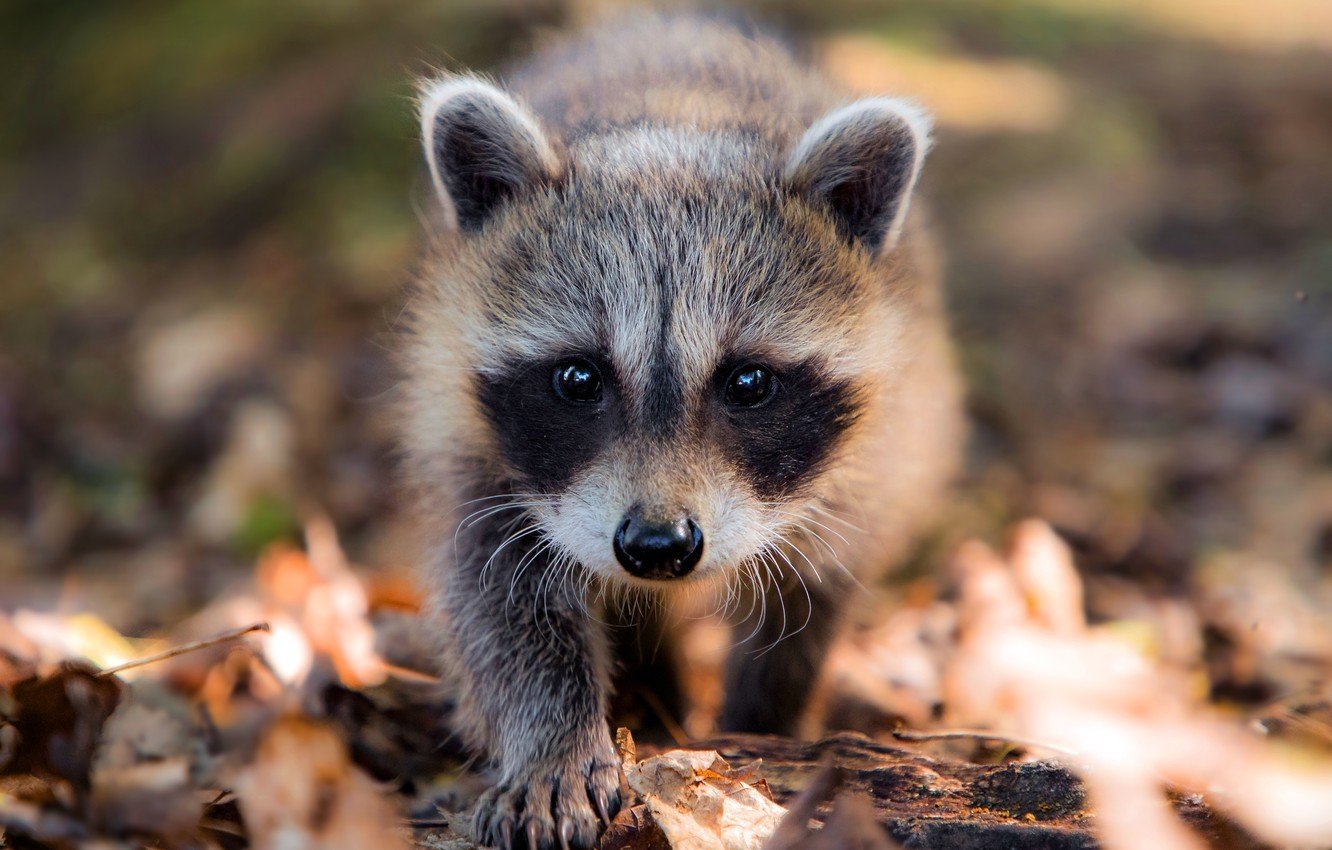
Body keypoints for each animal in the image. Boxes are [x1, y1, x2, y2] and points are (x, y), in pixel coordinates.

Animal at [400, 12, 964, 849]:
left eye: (749, 383)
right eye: (578, 379)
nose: (657, 547)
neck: (675, 117)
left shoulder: (874, 452)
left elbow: (809, 597)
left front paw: (763, 724)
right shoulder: (470, 437)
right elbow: (498, 599)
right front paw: (553, 741)